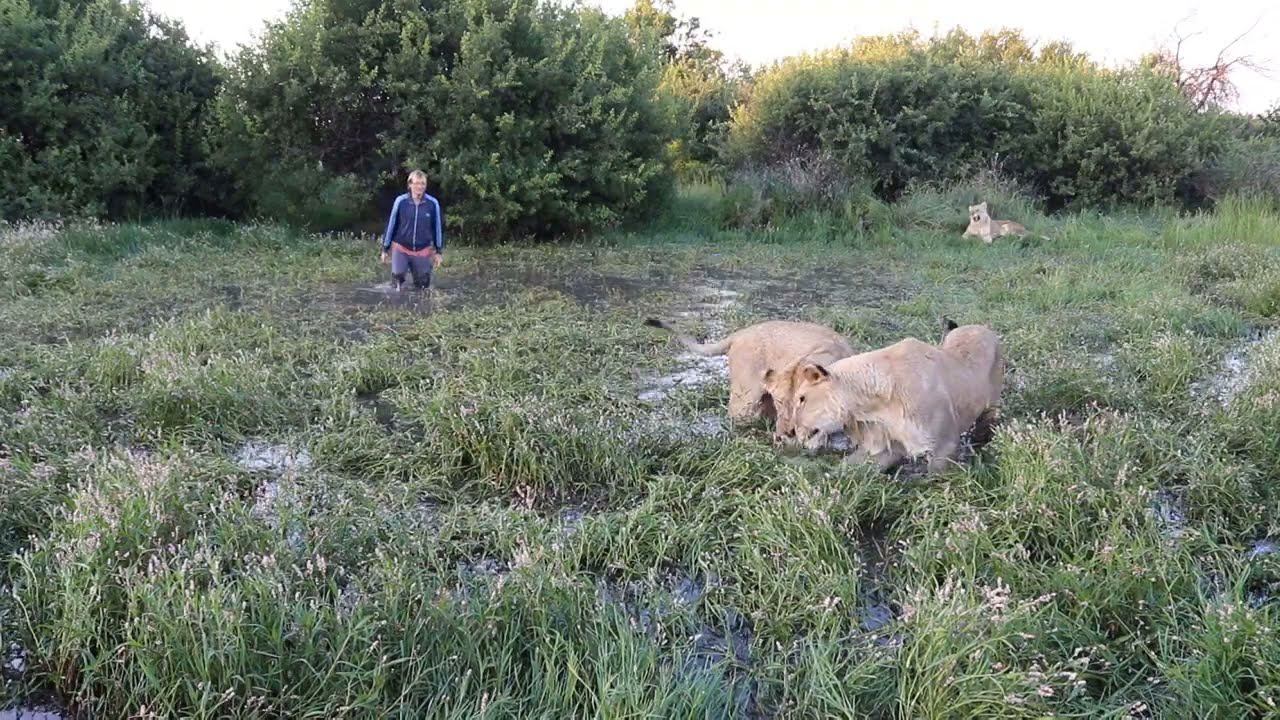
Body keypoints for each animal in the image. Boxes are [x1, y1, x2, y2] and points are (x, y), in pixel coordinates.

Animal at [786, 324, 1004, 473]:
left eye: (801, 399)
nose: (790, 431)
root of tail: (982, 327)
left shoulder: (944, 444)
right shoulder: (887, 444)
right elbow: (850, 470)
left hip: (992, 403)